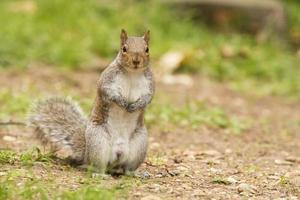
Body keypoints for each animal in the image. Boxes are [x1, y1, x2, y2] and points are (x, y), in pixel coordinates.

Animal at [28, 29, 155, 175]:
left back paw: (135, 173)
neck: (132, 73)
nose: (136, 61)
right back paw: (99, 174)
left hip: (139, 145)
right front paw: (123, 103)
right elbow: (108, 93)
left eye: (147, 49)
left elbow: (148, 97)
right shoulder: (106, 81)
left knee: (127, 168)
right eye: (124, 48)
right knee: (97, 166)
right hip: (98, 142)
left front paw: (136, 105)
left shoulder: (150, 84)